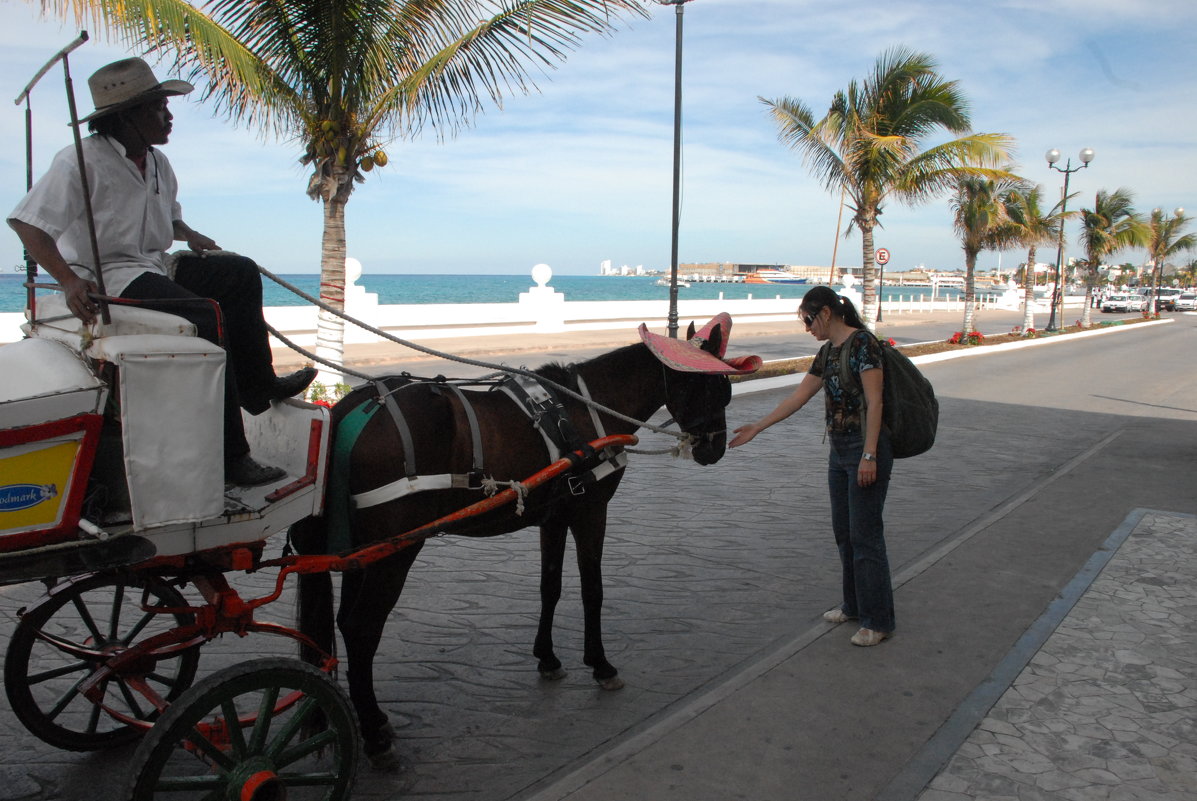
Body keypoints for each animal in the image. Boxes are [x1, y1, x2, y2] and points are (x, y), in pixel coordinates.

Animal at [290, 318, 756, 761]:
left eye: (725, 387)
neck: (583, 409)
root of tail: (347, 412)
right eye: (709, 386)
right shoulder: (591, 512)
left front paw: (547, 657)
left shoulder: (555, 515)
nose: (714, 449)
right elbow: (592, 589)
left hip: (363, 550)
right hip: (396, 549)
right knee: (362, 627)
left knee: (346, 623)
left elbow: (550, 586)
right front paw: (600, 664)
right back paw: (373, 734)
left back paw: (372, 720)